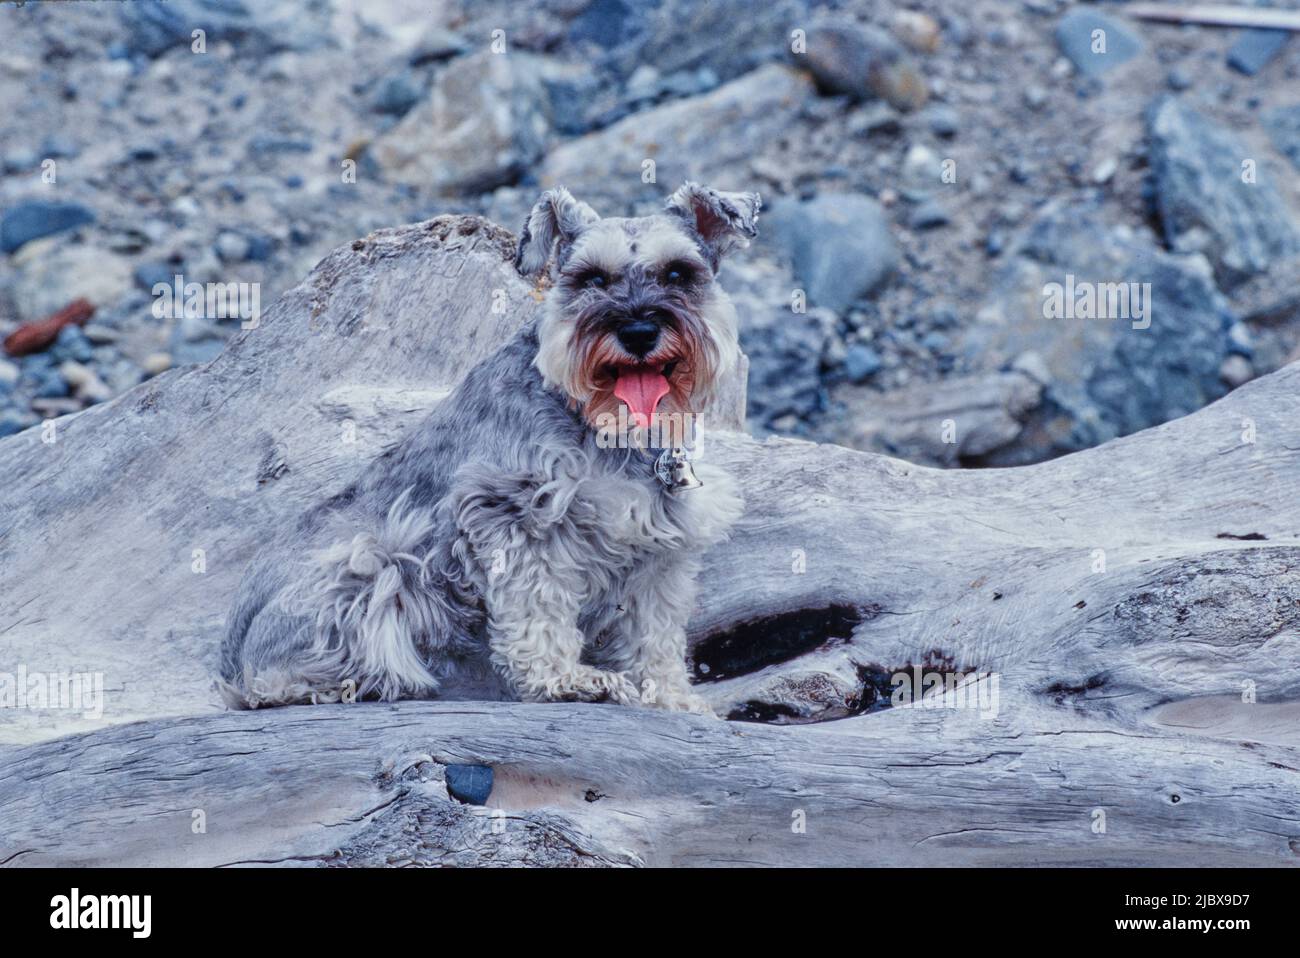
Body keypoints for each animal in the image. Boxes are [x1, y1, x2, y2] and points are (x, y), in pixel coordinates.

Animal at [218, 183, 759, 712]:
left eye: (678, 272)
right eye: (591, 279)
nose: (639, 331)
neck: (604, 423)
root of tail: (229, 662)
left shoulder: (660, 551)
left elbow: (655, 634)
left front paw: (670, 697)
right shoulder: (515, 515)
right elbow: (537, 607)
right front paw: (562, 680)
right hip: (371, 563)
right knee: (282, 681)